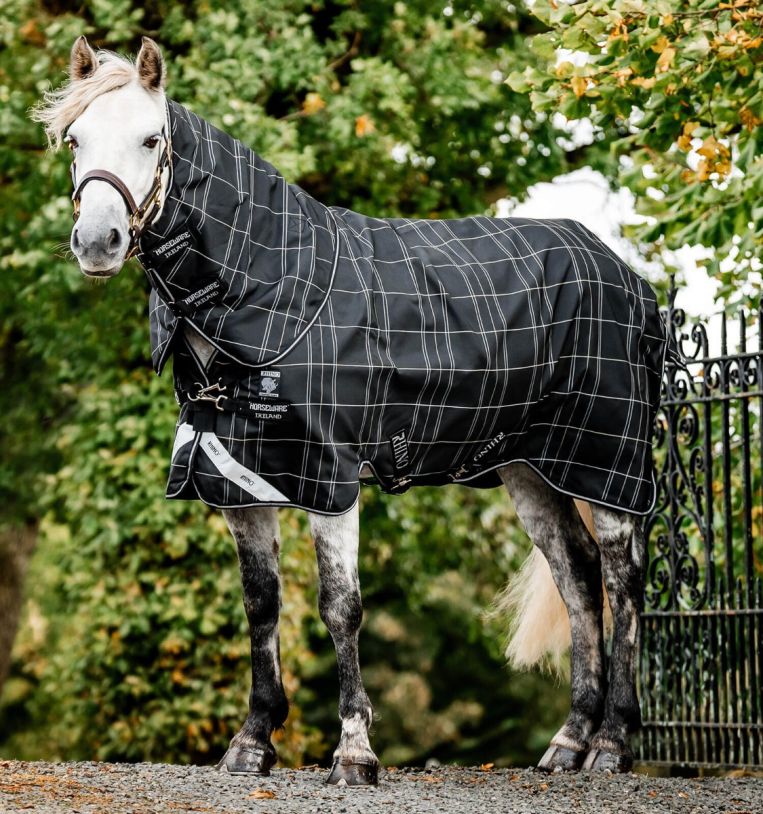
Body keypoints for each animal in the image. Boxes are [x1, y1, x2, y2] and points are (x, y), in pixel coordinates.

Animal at [33, 36, 668, 785]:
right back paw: (568, 742)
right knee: (577, 578)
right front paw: (252, 742)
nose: (96, 241)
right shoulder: (240, 482)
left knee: (622, 579)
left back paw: (611, 744)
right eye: (74, 139)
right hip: (530, 469)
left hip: (606, 461)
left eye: (151, 138)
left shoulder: (329, 480)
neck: (275, 289)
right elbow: (261, 606)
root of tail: (628, 278)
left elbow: (341, 608)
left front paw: (355, 753)